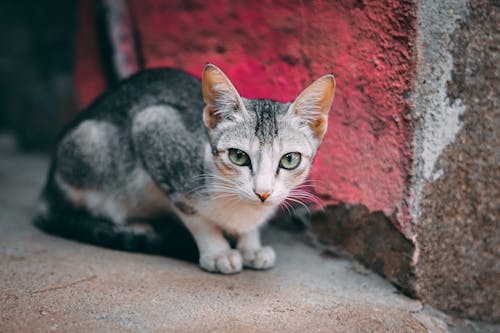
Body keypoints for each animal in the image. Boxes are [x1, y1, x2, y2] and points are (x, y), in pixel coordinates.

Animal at [36, 64, 336, 272]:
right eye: (239, 157)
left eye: (289, 160)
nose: (262, 192)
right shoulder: (154, 125)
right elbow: (195, 215)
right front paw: (217, 251)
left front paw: (251, 245)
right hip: (89, 144)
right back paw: (136, 226)